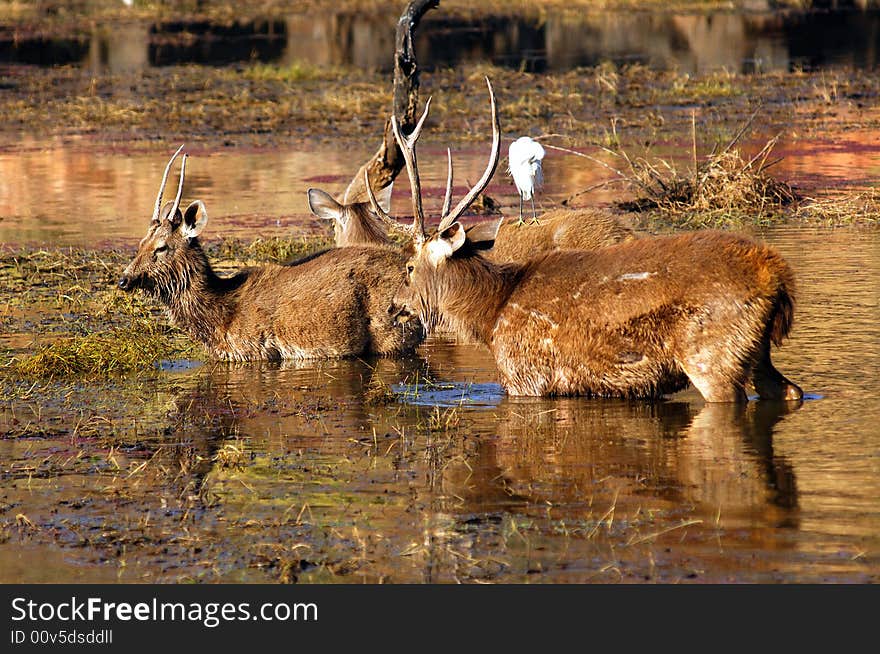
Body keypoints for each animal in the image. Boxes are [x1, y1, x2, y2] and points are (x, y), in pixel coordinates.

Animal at [117, 146, 422, 364]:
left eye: (161, 247)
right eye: (141, 243)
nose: (124, 280)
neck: (218, 319)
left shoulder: (256, 351)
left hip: (392, 332)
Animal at [378, 79, 804, 402]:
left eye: (409, 266)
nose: (393, 306)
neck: (490, 315)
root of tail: (778, 278)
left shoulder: (525, 379)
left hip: (713, 354)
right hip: (757, 352)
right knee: (791, 391)